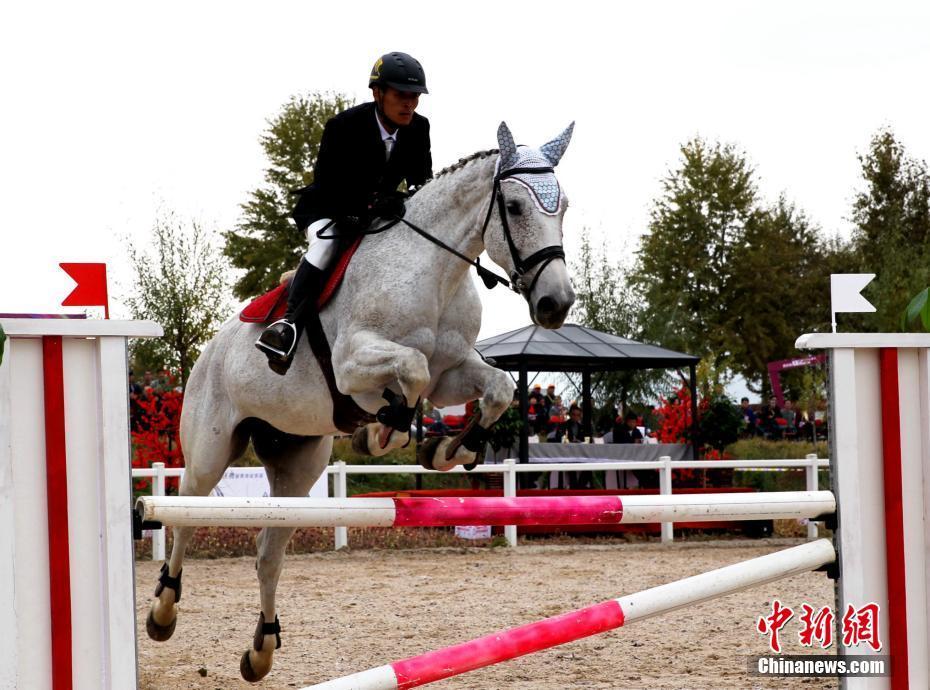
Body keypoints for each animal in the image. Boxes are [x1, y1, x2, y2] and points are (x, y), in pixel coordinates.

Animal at [147, 121, 572, 680]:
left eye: (564, 206)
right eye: (517, 207)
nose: (556, 304)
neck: (435, 274)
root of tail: (207, 352)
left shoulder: (451, 375)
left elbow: (495, 387)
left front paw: (446, 448)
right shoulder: (354, 366)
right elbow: (408, 372)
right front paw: (385, 431)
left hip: (297, 465)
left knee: (267, 553)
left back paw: (261, 648)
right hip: (208, 453)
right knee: (185, 520)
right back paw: (162, 611)